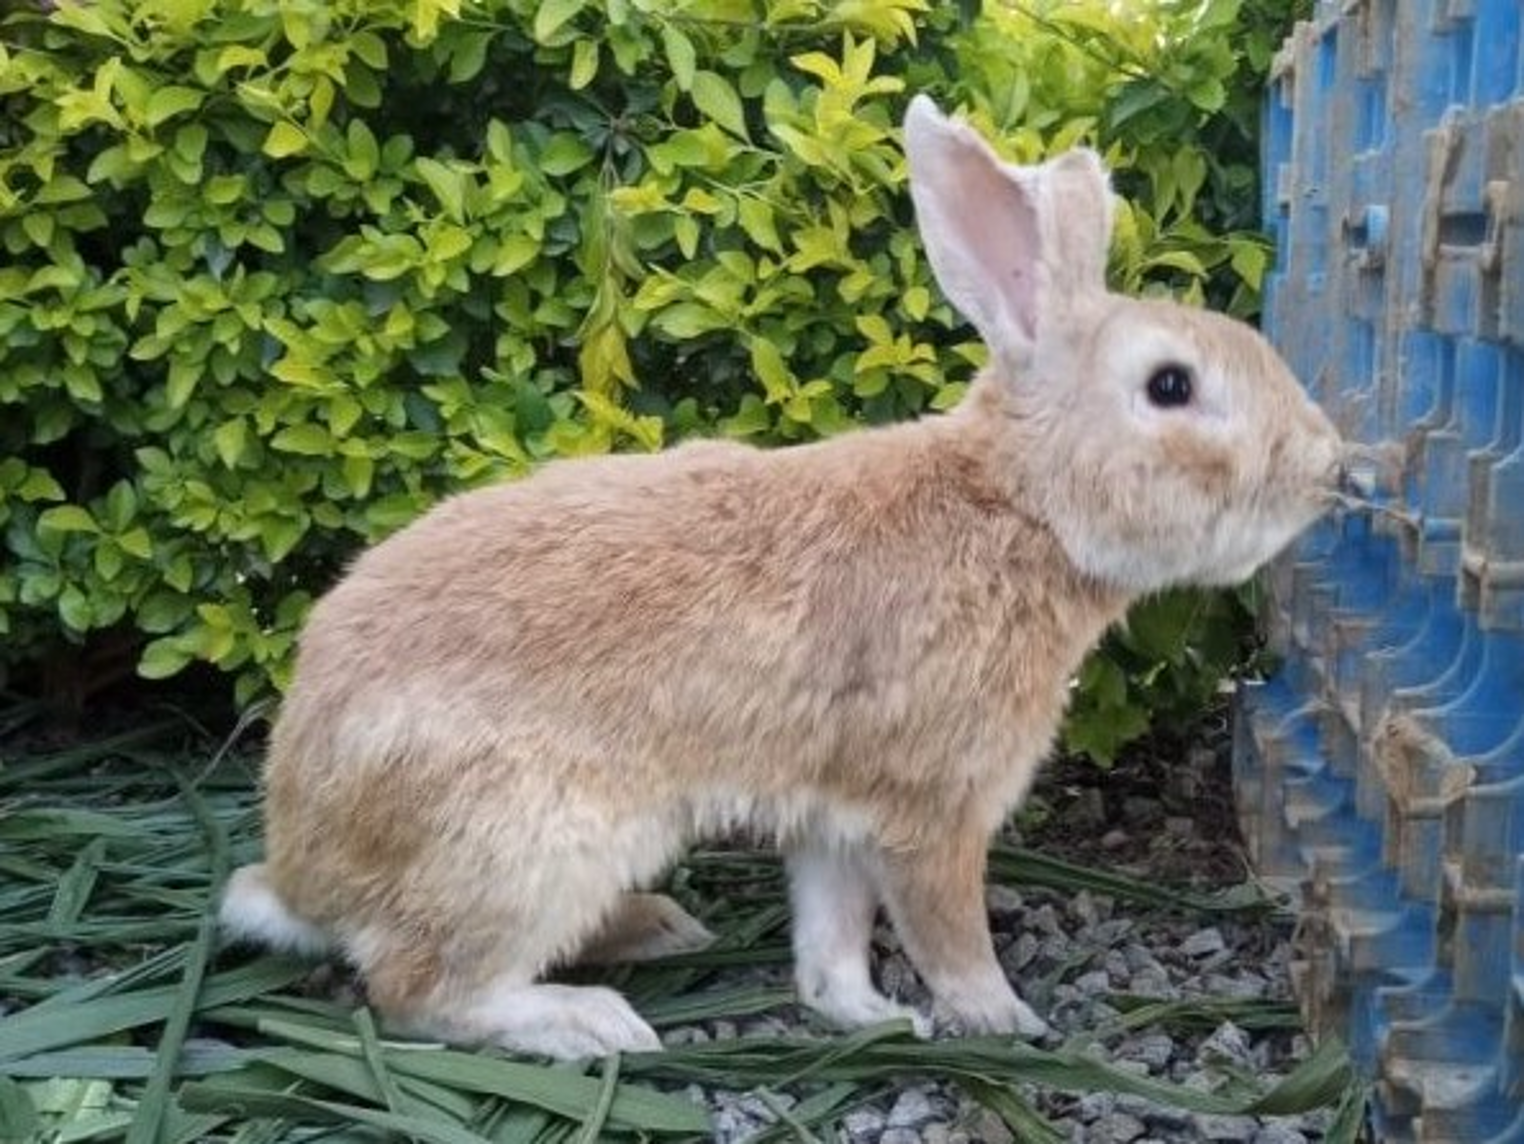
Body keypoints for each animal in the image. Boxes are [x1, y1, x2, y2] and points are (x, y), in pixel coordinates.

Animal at [217, 94, 1347, 1060]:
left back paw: (657, 928)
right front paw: (1004, 1018)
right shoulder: (932, 806)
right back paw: (588, 1022)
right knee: (422, 990)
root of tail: (304, 866)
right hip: (524, 843)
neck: (1018, 507)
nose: (1328, 464)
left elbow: (831, 937)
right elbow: (947, 928)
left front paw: (871, 1018)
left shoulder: (834, 810)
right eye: (1171, 386)